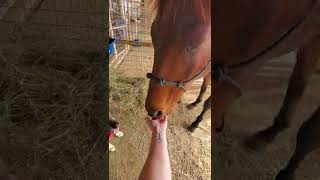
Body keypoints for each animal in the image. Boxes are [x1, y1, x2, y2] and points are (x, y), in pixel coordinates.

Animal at [144, 0, 211, 132]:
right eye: (153, 34)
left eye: (195, 43)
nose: (153, 112)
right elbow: (203, 88)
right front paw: (195, 102)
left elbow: (208, 103)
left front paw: (196, 122)